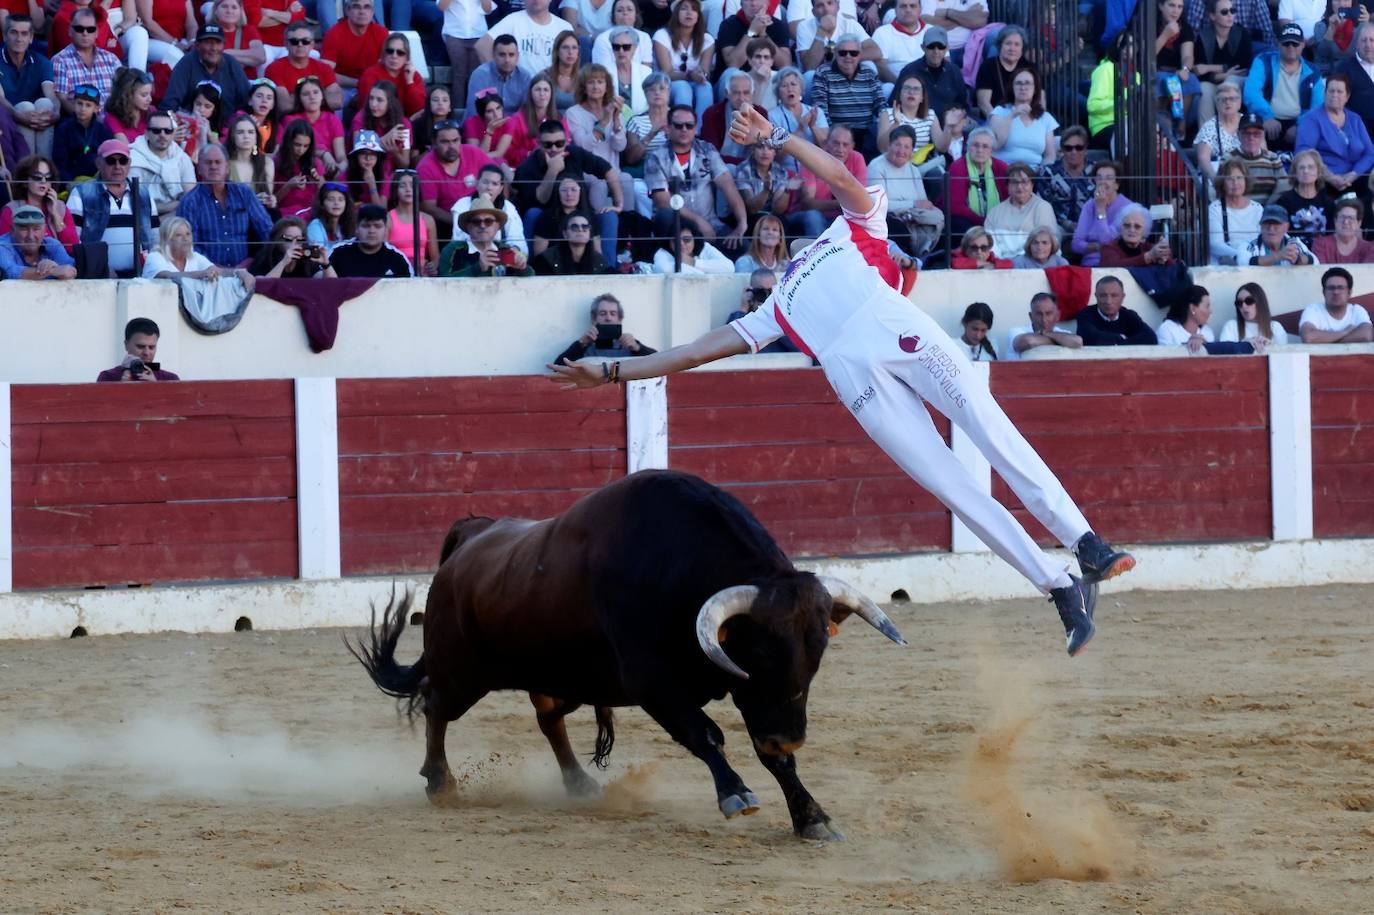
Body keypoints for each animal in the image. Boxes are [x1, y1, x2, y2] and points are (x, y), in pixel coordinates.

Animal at [348, 467, 901, 835]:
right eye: (760, 652)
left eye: (817, 652)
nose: (791, 738)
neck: (679, 570)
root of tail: (470, 538)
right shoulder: (653, 683)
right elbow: (705, 733)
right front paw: (736, 793)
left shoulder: (755, 703)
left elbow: (771, 758)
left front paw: (812, 817)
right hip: (463, 670)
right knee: (436, 708)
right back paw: (441, 783)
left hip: (557, 675)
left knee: (548, 719)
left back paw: (579, 785)